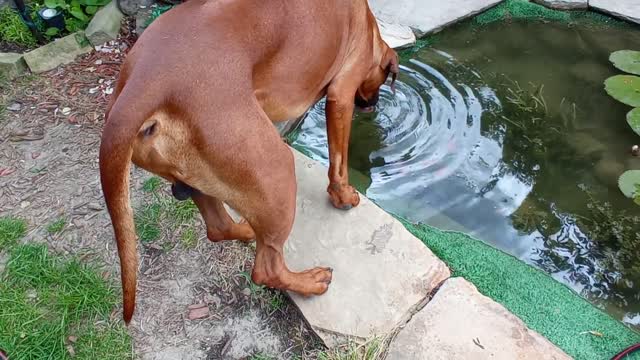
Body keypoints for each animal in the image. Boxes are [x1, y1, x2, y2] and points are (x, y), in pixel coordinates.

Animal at [100, 0, 400, 324]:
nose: (373, 104)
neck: (366, 21)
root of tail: (141, 86)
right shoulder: (342, 96)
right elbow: (339, 161)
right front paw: (343, 195)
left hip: (200, 178)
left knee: (219, 228)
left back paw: (246, 229)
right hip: (276, 169)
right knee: (266, 270)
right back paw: (309, 281)